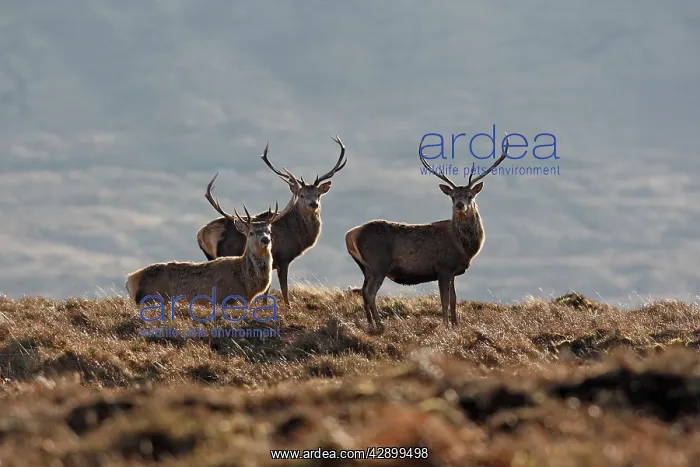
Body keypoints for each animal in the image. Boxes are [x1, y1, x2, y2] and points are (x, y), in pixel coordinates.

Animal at [125, 169, 300, 308]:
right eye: (251, 233)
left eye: (269, 231)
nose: (265, 240)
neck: (247, 285)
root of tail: (130, 280)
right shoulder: (226, 299)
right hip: (153, 298)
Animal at [196, 136, 347, 307]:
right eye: (301, 195)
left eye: (318, 194)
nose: (313, 204)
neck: (296, 235)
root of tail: (202, 233)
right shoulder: (283, 258)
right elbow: (284, 289)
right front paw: (287, 307)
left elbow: (266, 292)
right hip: (226, 252)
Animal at [344, 134, 511, 331]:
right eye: (452, 196)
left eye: (470, 195)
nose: (460, 205)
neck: (464, 248)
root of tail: (351, 234)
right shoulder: (443, 267)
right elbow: (444, 301)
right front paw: (446, 326)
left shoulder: (452, 271)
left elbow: (454, 300)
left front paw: (456, 325)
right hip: (379, 263)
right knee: (370, 292)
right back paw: (380, 325)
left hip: (366, 267)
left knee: (363, 291)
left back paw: (370, 324)